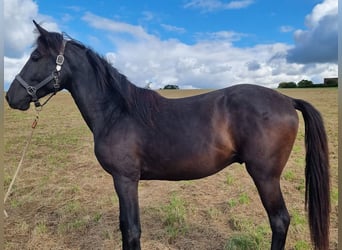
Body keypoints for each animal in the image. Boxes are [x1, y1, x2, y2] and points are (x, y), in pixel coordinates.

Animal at [5, 22, 330, 250]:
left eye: (35, 56)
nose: (10, 96)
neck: (116, 111)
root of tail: (287, 100)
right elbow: (126, 227)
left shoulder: (125, 179)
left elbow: (131, 230)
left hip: (265, 176)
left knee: (279, 221)